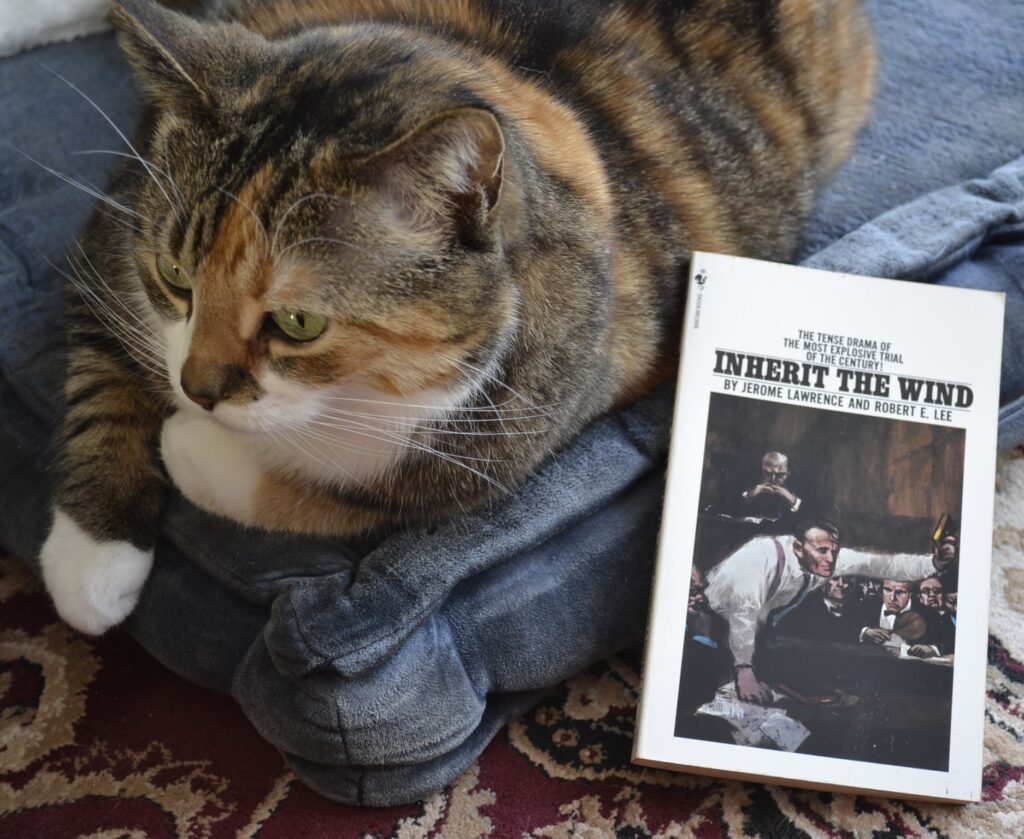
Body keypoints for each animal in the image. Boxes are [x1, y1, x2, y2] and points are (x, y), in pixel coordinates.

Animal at [37, 0, 872, 635]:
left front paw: (192, 448)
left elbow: (371, 489)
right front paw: (92, 561)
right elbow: (98, 382)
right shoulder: (108, 249)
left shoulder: (520, 433)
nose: (197, 389)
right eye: (175, 275)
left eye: (299, 322)